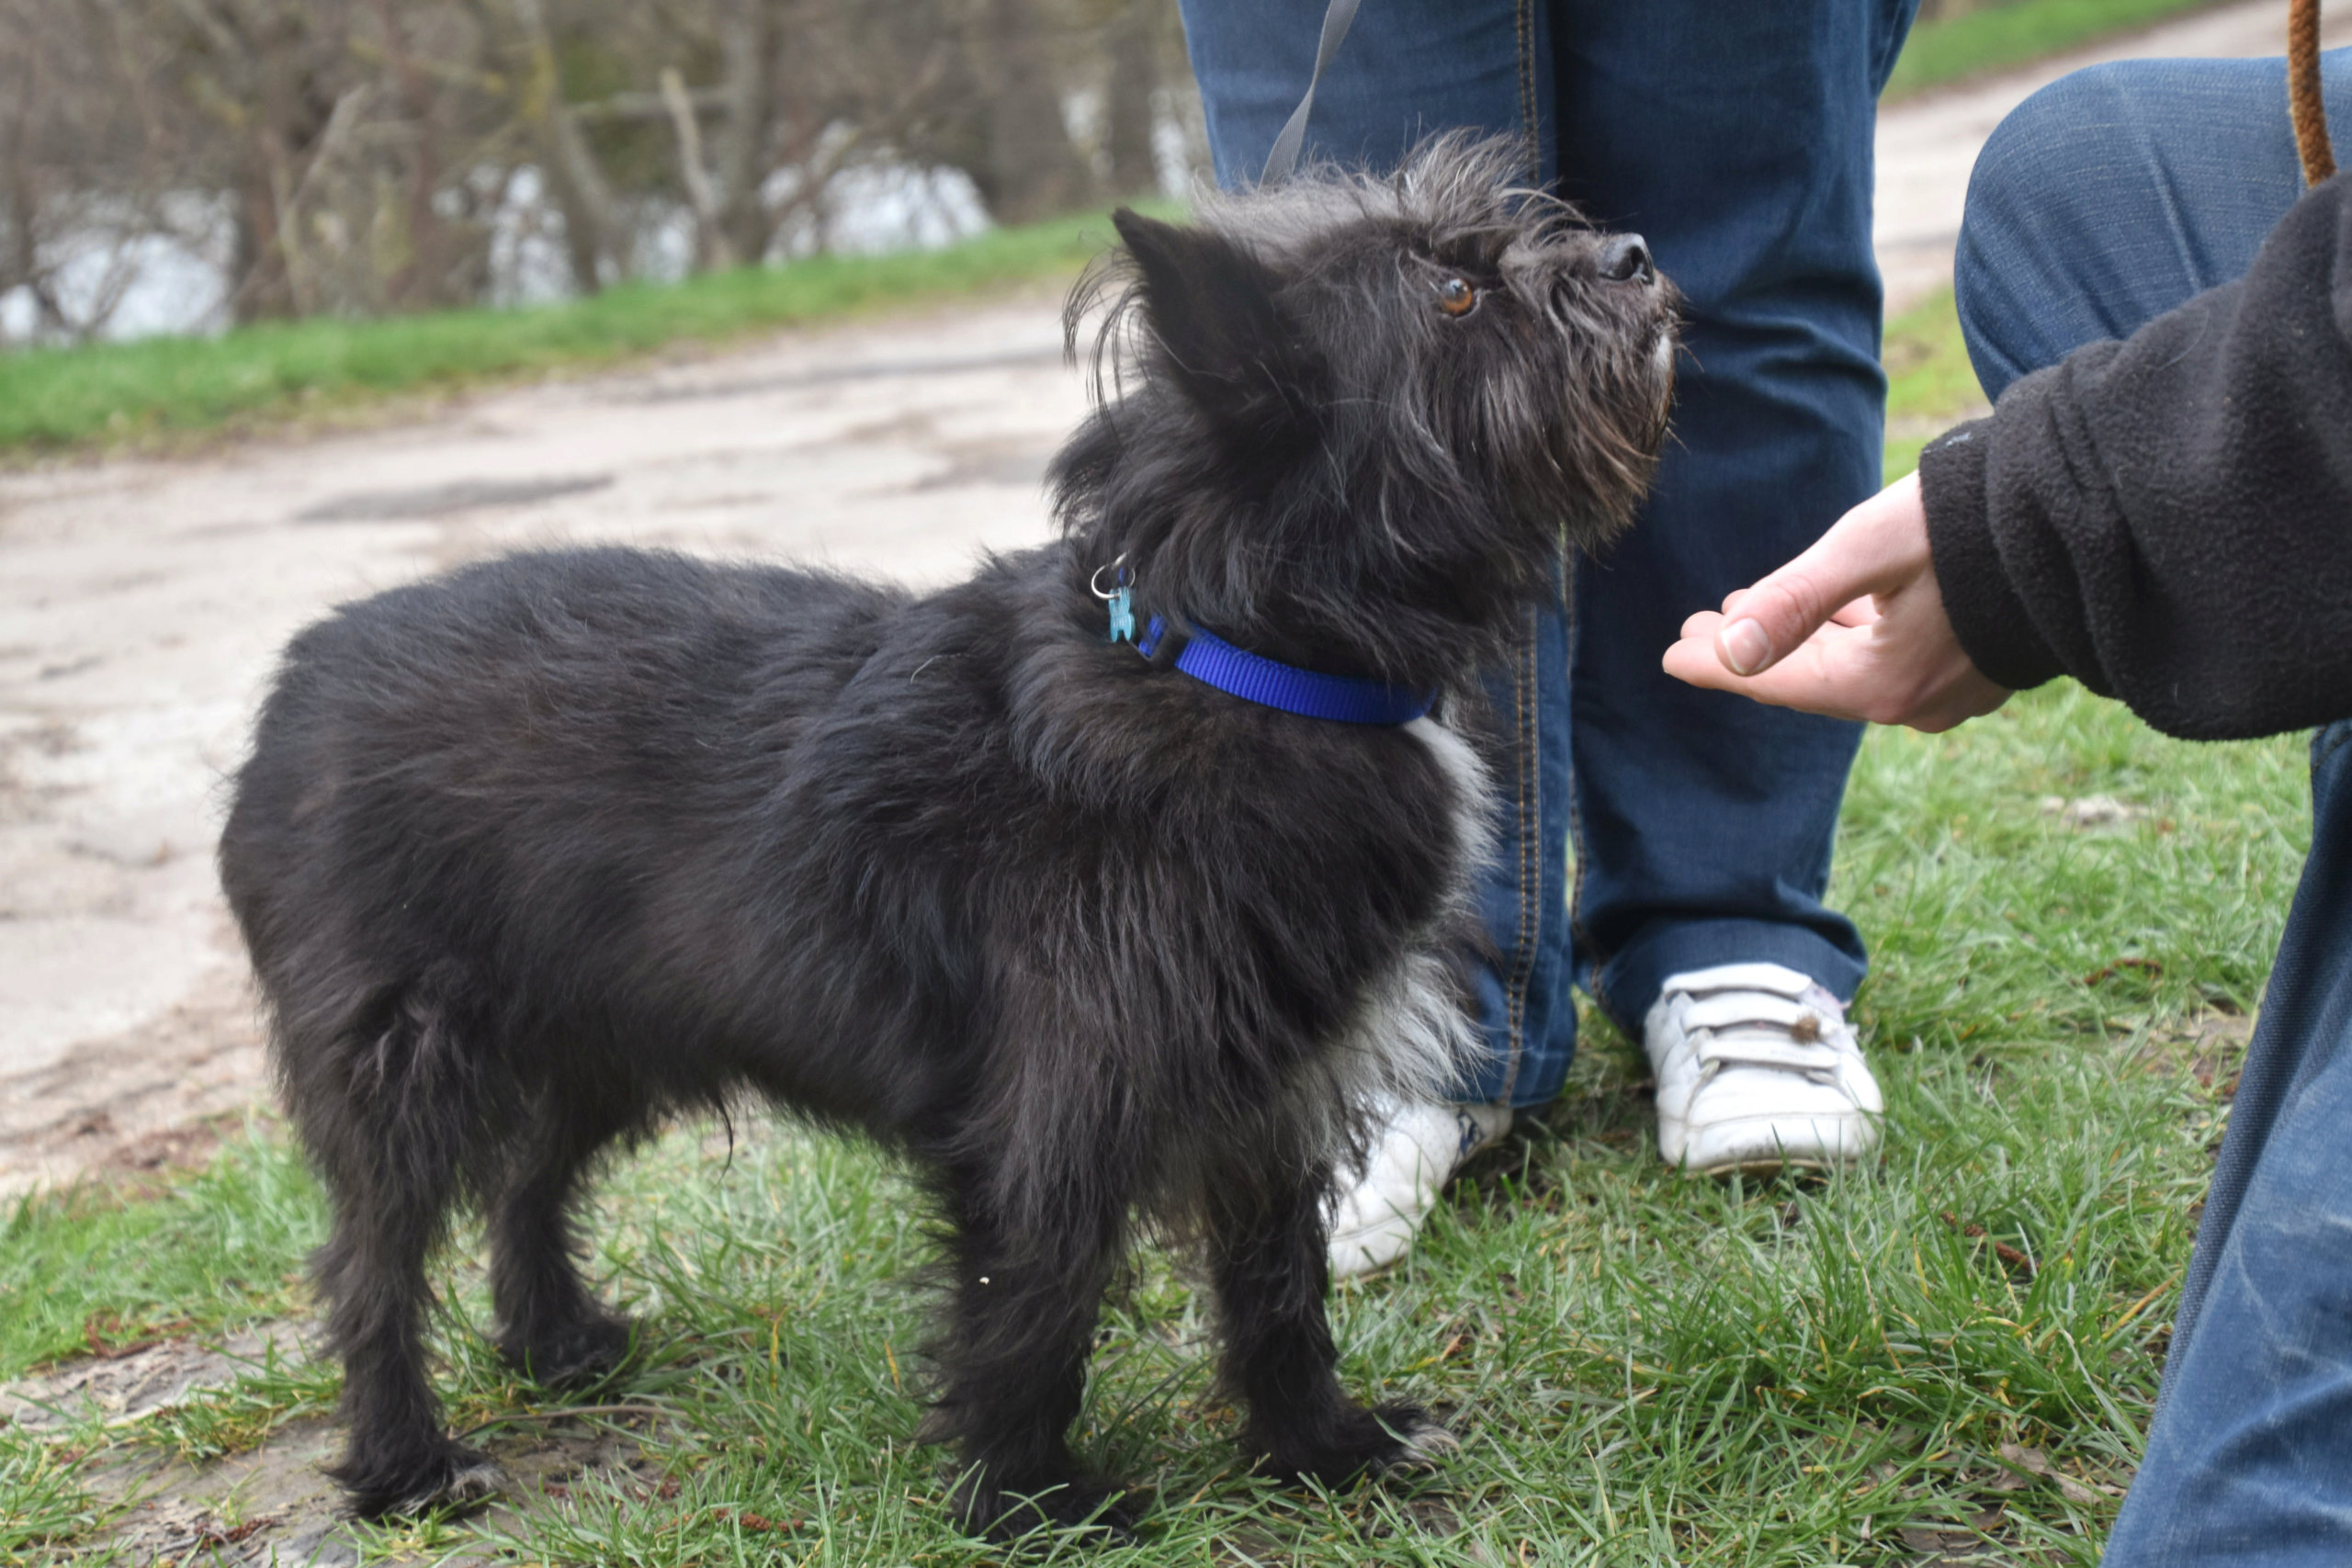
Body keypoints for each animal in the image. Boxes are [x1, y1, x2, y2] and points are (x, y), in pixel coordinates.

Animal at [220, 131, 1683, 1532]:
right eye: (1453, 295)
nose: (1632, 254)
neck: (1231, 654)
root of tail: (302, 673)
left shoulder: (1269, 1092)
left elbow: (1278, 1286)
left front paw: (1322, 1452)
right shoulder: (1061, 1105)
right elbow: (1034, 1303)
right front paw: (1032, 1505)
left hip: (604, 1028)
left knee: (528, 1179)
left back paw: (555, 1341)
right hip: (409, 1057)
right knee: (369, 1265)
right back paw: (407, 1464)